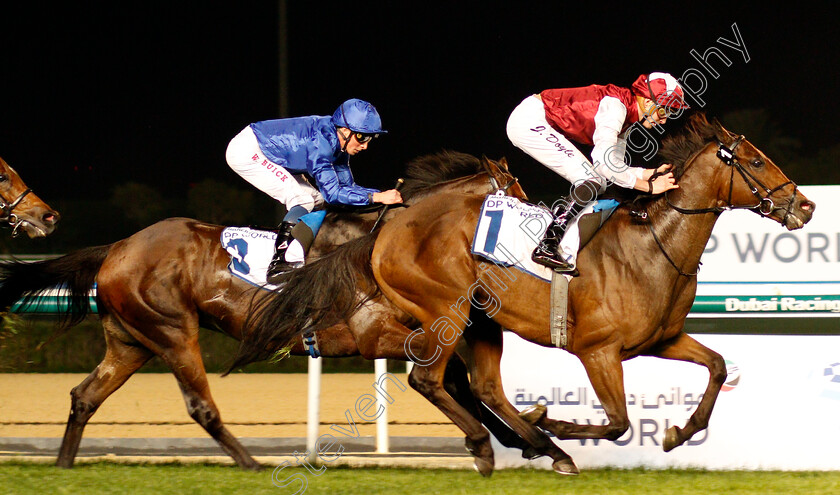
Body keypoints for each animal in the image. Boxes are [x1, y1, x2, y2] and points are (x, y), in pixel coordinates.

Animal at [0, 152, 540, 472]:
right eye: (517, 193)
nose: (547, 234)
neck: (386, 240)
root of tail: (117, 247)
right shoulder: (374, 334)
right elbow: (450, 378)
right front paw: (503, 441)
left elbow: (459, 379)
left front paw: (529, 437)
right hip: (173, 332)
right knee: (201, 406)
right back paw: (252, 465)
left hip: (132, 341)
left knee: (85, 396)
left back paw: (64, 466)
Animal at [235, 113, 812, 476]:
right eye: (755, 162)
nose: (804, 206)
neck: (652, 244)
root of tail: (387, 226)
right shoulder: (597, 351)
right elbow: (619, 421)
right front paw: (552, 421)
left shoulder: (660, 339)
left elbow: (716, 368)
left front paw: (677, 433)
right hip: (446, 310)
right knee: (429, 378)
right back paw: (497, 446)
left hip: (480, 321)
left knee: (487, 388)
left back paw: (540, 446)